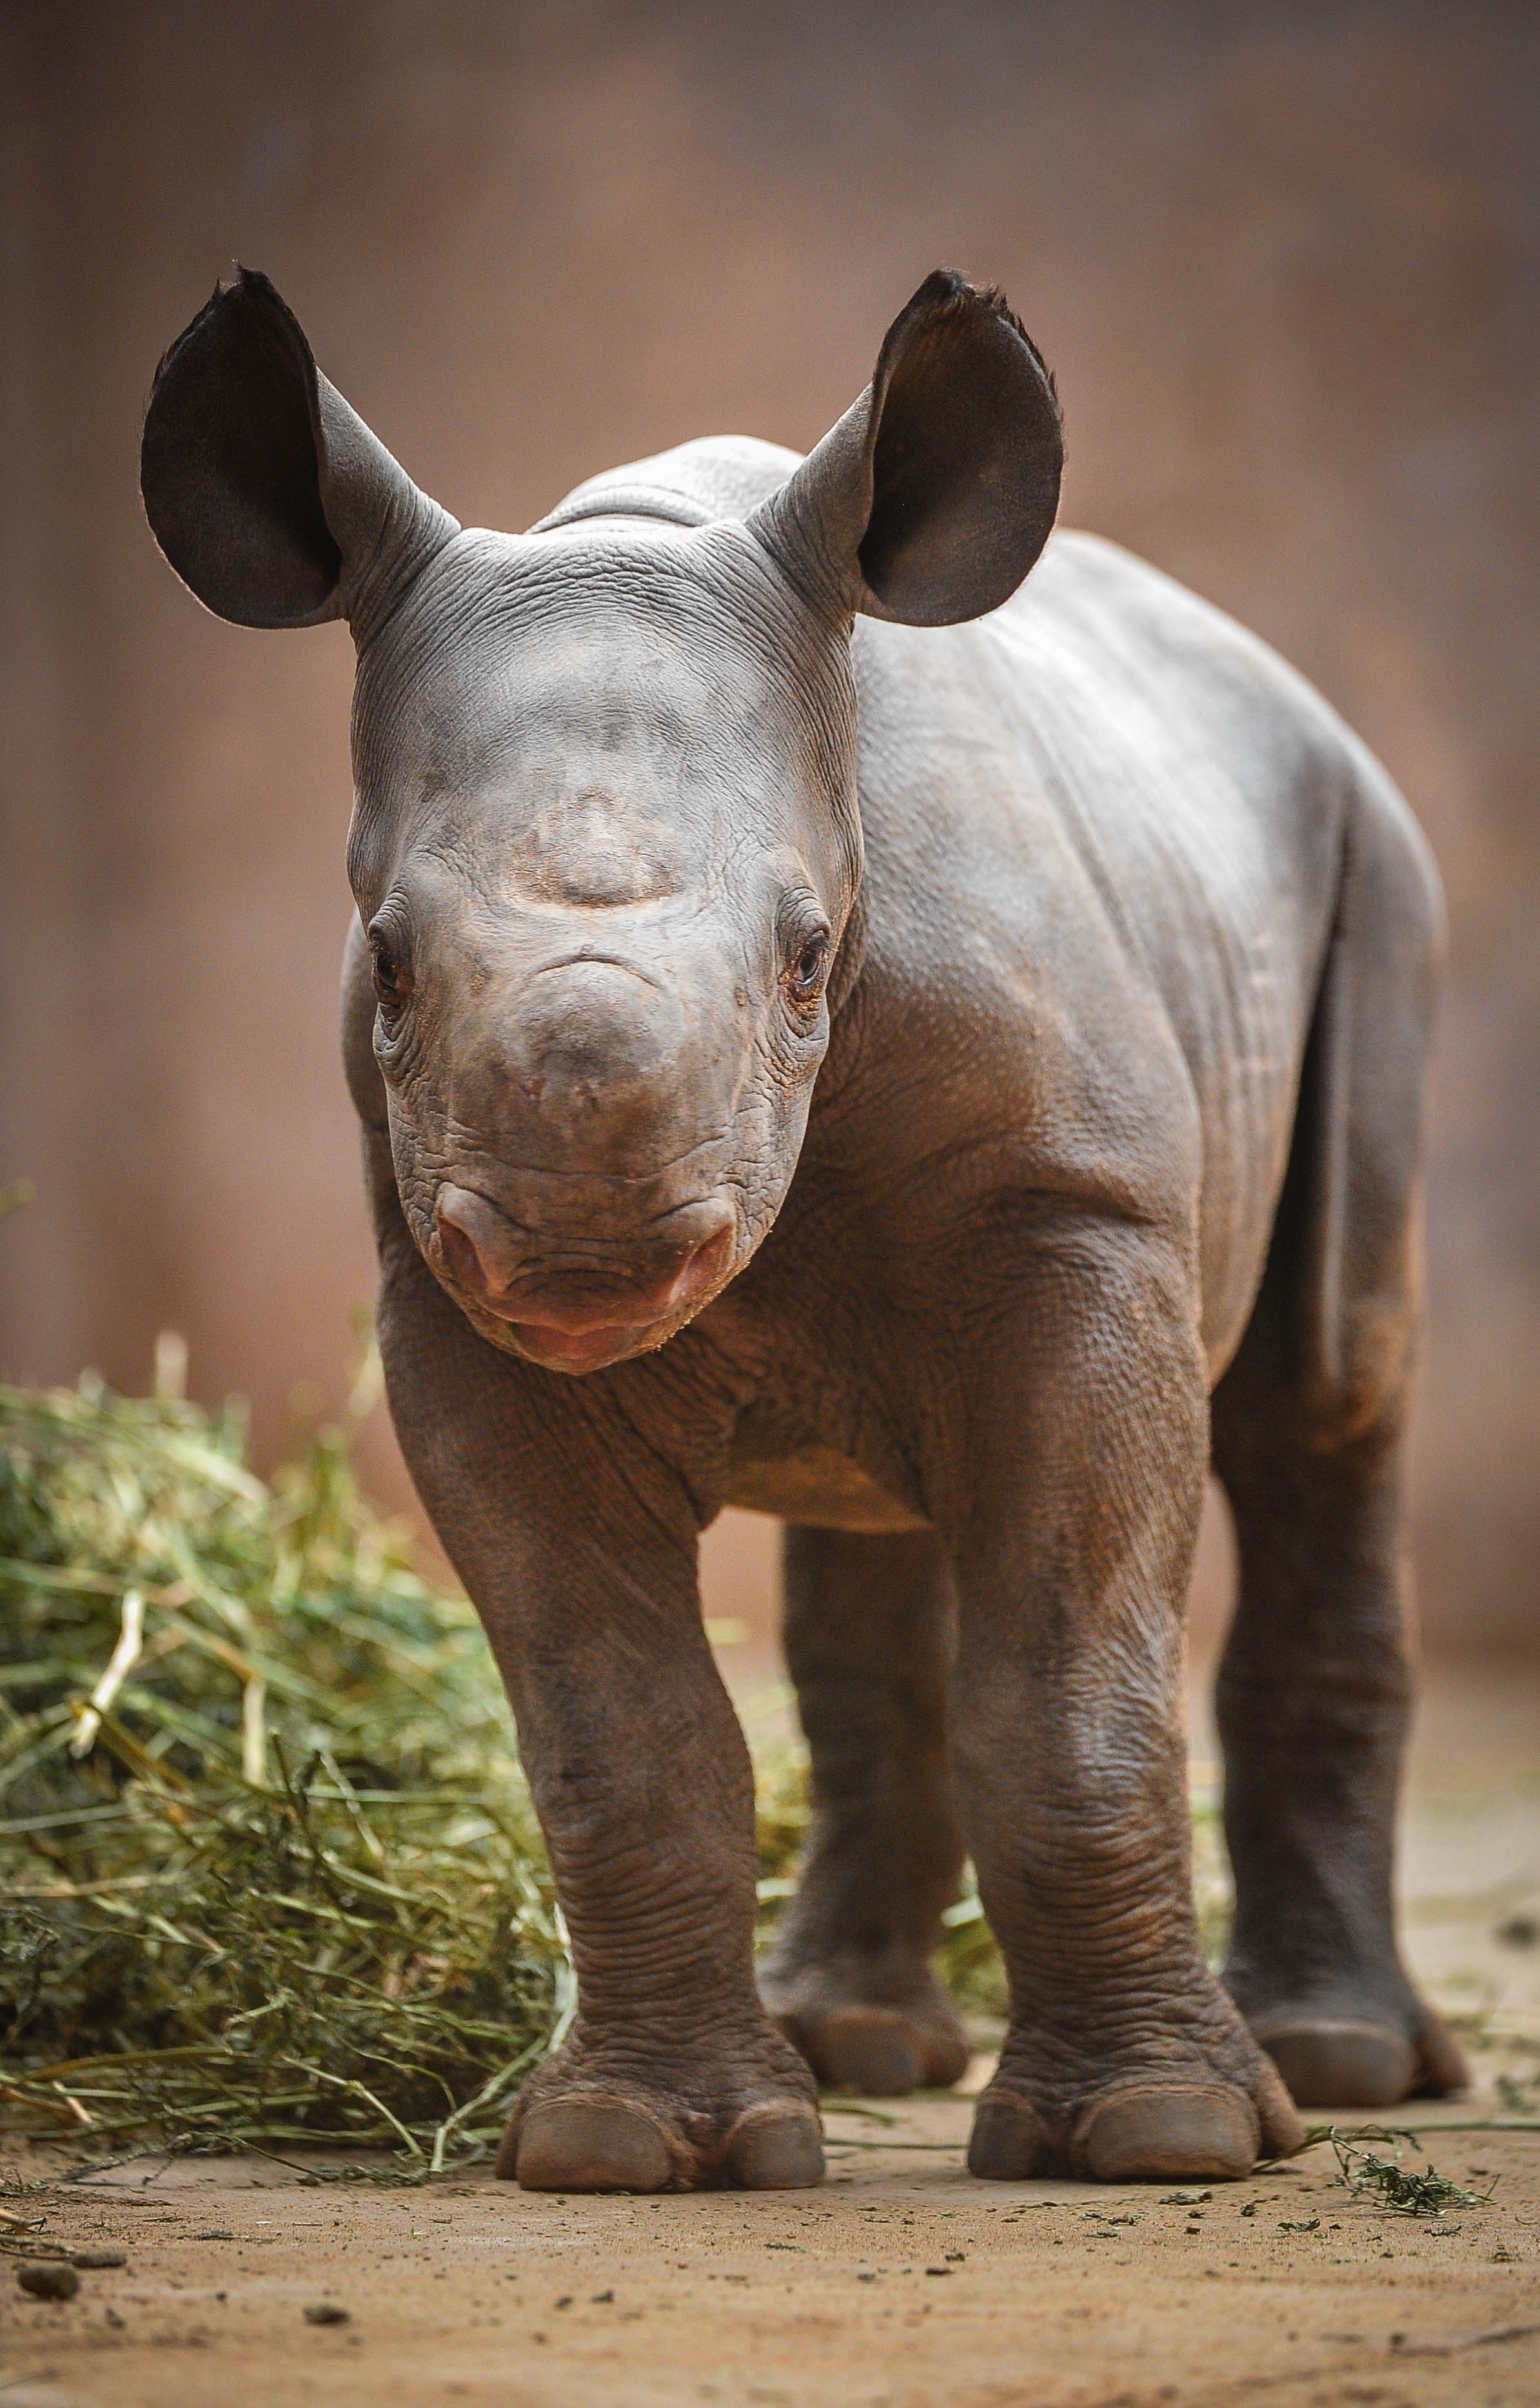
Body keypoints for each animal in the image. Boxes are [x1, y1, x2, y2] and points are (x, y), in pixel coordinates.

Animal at [141, 273, 1465, 2196]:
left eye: (806, 953)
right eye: (385, 961)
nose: (581, 1256)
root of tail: (1268, 672)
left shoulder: (1081, 1213)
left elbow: (1069, 1685)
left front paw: (1161, 2135)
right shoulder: (441, 1297)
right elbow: (619, 1729)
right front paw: (632, 2145)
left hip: (1368, 855)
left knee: (1326, 1393)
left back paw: (1345, 2062)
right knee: (878, 1518)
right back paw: (859, 2041)